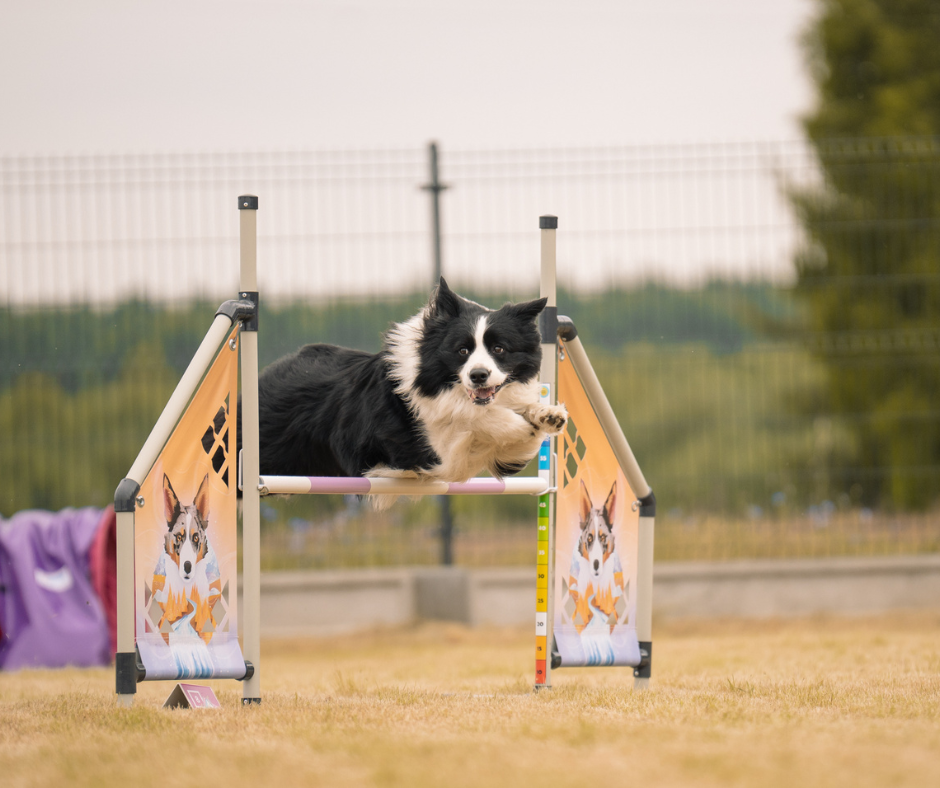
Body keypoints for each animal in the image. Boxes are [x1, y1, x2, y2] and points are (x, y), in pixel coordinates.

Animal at [248, 280, 564, 508]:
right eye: (462, 350)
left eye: (499, 349)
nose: (478, 376)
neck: (442, 385)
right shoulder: (430, 451)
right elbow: (478, 417)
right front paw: (519, 421)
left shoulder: (502, 455)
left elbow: (519, 432)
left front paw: (547, 415)